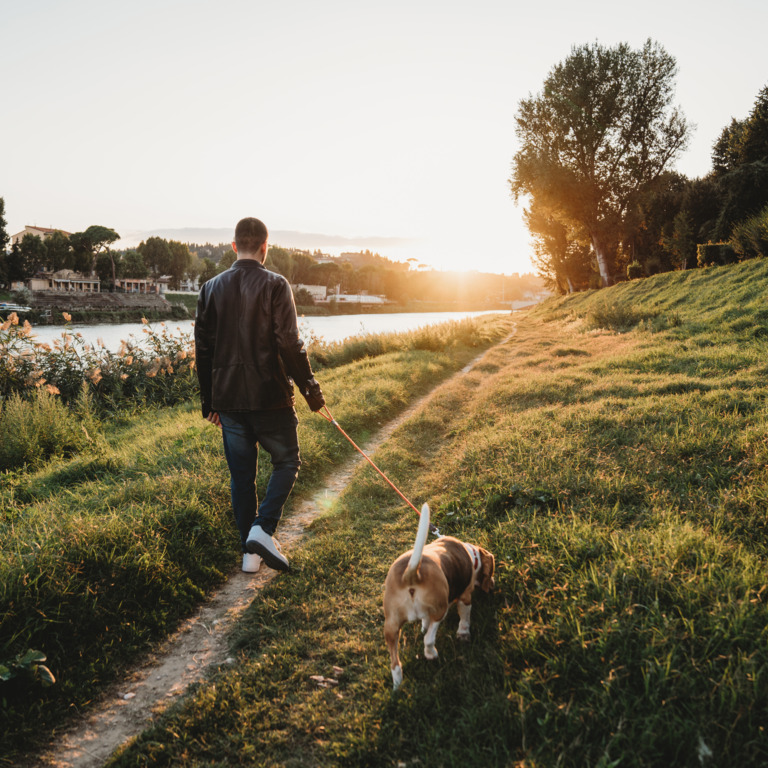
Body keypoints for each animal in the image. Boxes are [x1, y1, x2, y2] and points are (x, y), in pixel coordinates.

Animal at [384, 504, 498, 688]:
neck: (472, 554)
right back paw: (431, 653)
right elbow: (465, 618)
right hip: (440, 610)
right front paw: (463, 633)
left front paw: (423, 626)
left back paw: (397, 687)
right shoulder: (465, 597)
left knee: (395, 664)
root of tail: (411, 574)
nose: (492, 585)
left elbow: (424, 622)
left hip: (391, 626)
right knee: (429, 639)